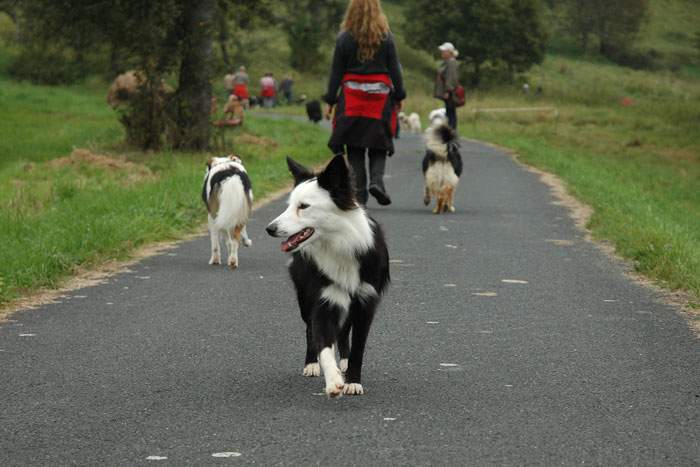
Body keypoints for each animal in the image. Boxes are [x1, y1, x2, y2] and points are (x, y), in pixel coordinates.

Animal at [266, 156, 392, 398]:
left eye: (303, 206)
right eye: (289, 205)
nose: (270, 229)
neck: (339, 244)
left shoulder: (365, 302)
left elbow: (358, 347)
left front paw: (353, 380)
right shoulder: (324, 299)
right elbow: (323, 342)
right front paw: (333, 381)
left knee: (343, 333)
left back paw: (344, 362)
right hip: (305, 298)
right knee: (310, 330)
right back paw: (312, 364)